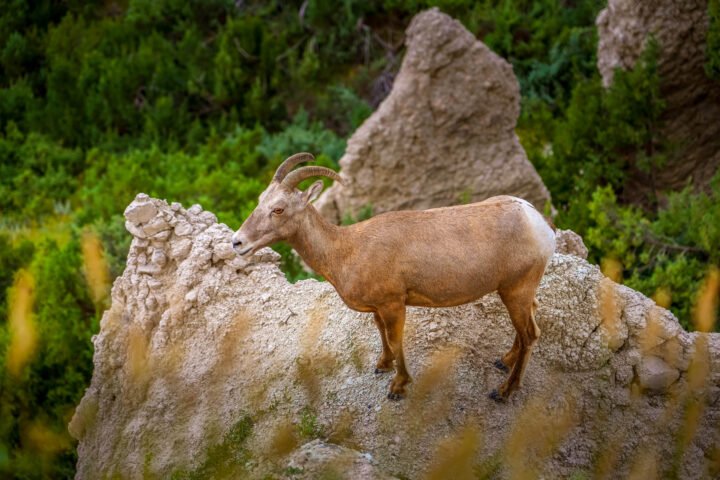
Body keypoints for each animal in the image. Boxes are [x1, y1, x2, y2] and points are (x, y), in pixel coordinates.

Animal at [232, 153, 556, 402]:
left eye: (278, 209)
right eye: (260, 200)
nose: (237, 242)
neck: (346, 250)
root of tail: (539, 224)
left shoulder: (394, 305)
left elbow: (396, 340)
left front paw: (398, 388)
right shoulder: (379, 308)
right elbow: (382, 335)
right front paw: (382, 366)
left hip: (515, 290)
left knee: (530, 334)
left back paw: (503, 392)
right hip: (517, 293)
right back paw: (503, 362)